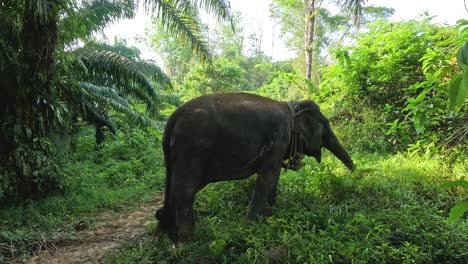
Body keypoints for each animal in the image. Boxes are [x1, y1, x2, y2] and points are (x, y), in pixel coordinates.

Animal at [155, 93, 352, 241]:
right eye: (325, 128)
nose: (354, 173)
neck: (292, 107)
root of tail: (172, 118)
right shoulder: (280, 138)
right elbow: (268, 176)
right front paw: (250, 227)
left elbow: (273, 177)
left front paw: (270, 214)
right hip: (192, 149)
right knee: (185, 191)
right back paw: (187, 241)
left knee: (172, 189)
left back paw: (166, 234)